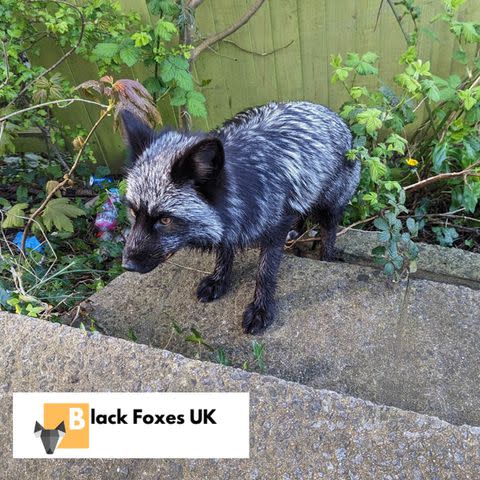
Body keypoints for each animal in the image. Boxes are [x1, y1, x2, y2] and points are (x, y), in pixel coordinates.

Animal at [122, 101, 358, 334]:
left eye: (165, 220)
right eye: (133, 211)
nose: (127, 266)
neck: (245, 184)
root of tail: (331, 113)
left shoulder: (275, 229)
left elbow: (265, 272)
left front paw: (261, 309)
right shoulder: (231, 219)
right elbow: (224, 251)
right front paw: (219, 280)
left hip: (330, 205)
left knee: (329, 231)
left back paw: (326, 257)